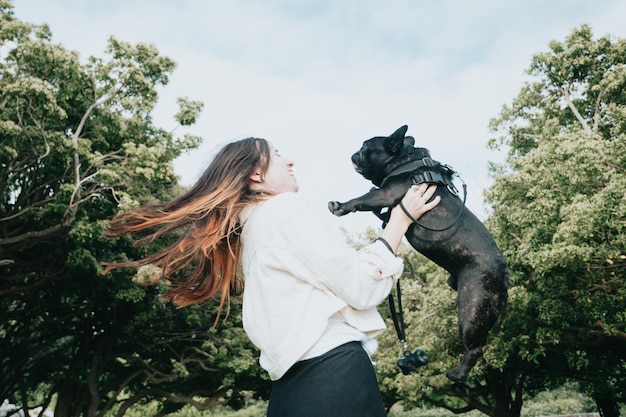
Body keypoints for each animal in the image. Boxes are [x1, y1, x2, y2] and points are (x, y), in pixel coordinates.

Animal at [326, 124, 508, 380]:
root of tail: (504, 275)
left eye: (364, 147)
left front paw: (341, 206)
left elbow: (365, 198)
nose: (354, 153)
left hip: (472, 309)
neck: (404, 160)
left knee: (475, 347)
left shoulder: (387, 194)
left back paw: (457, 373)